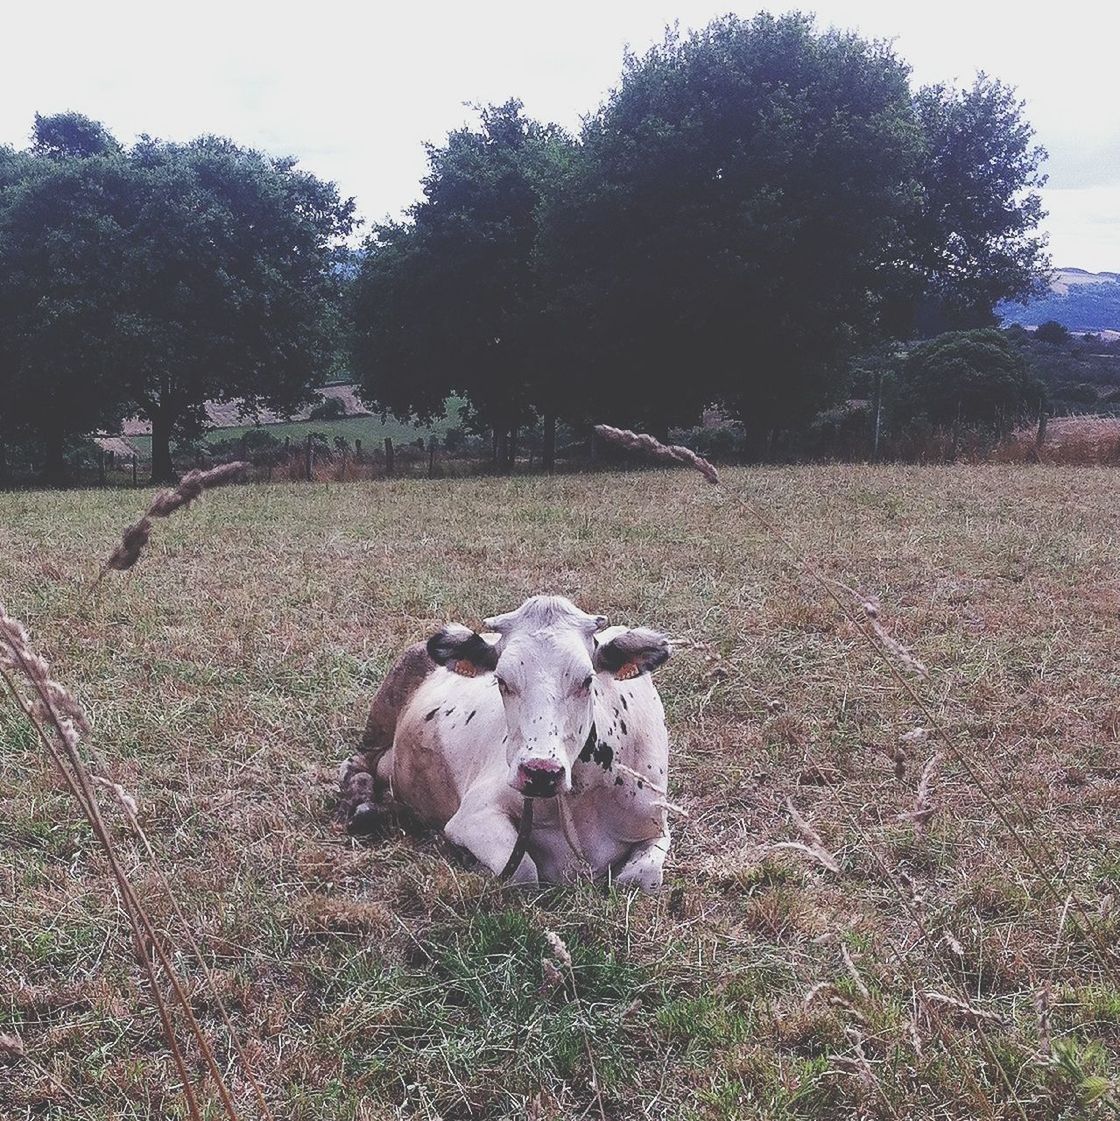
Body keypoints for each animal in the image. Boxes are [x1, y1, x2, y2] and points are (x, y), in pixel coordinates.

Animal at [336, 596, 672, 892]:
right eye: (501, 680)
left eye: (587, 680)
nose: (540, 772)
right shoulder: (474, 815)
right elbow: (522, 871)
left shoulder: (657, 825)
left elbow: (640, 878)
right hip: (380, 720)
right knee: (356, 764)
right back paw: (364, 807)